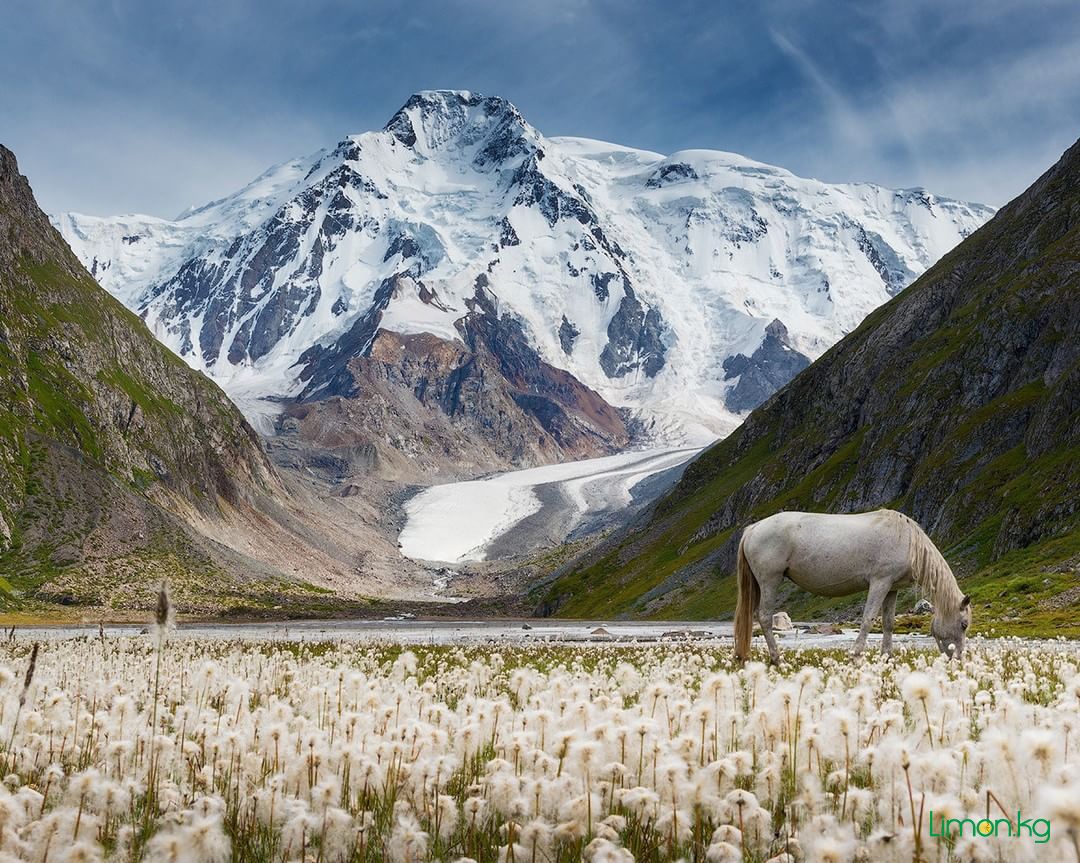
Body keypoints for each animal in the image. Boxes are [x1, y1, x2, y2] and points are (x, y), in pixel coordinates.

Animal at [734, 509, 972, 665]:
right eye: (963, 624)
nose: (958, 659)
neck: (907, 540)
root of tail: (753, 529)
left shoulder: (891, 588)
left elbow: (888, 624)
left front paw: (887, 658)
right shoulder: (879, 582)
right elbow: (867, 620)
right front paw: (856, 656)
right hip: (770, 580)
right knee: (765, 617)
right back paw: (778, 660)